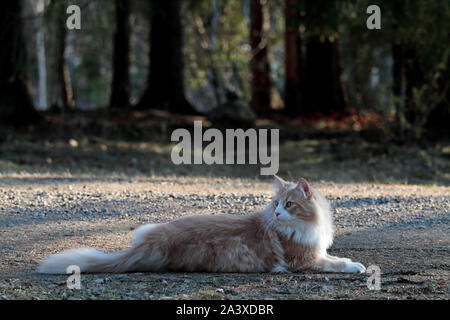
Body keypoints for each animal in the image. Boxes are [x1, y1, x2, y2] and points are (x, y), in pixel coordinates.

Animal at [37, 176, 366, 274]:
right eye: (275, 204)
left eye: (289, 205)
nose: (276, 215)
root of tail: (153, 242)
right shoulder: (304, 259)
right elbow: (336, 263)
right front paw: (355, 266)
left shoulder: (316, 250)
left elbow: (334, 256)